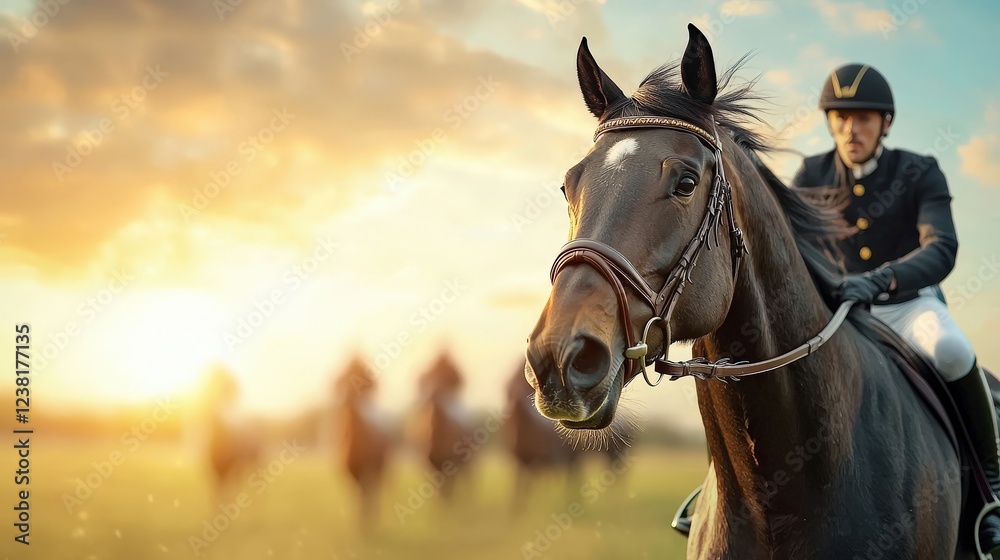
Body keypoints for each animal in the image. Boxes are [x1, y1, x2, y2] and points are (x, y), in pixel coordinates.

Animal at [331, 356, 393, 527]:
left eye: (363, 378)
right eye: (346, 376)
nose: (350, 396)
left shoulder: (369, 466)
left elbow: (366, 493)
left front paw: (366, 522)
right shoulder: (349, 469)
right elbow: (356, 493)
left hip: (382, 465)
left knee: (376, 489)